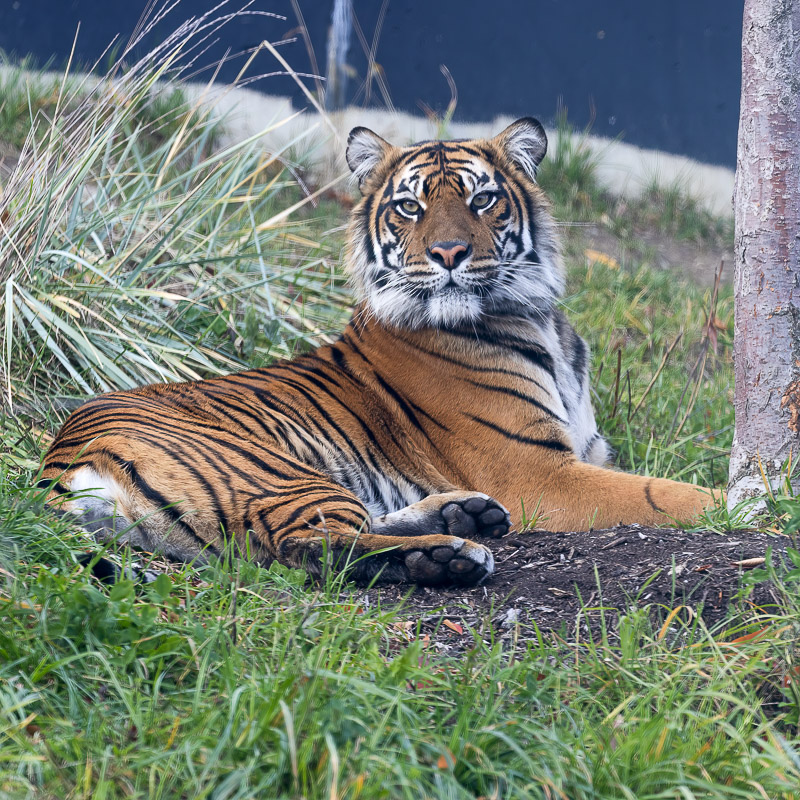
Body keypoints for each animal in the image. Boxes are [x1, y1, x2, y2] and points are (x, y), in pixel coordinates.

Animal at [39, 115, 720, 584]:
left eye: (482, 199)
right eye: (409, 206)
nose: (449, 253)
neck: (538, 318)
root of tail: (61, 458)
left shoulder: (585, 453)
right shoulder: (538, 472)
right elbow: (666, 493)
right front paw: (742, 497)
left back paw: (462, 514)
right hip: (273, 471)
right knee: (313, 546)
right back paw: (450, 553)